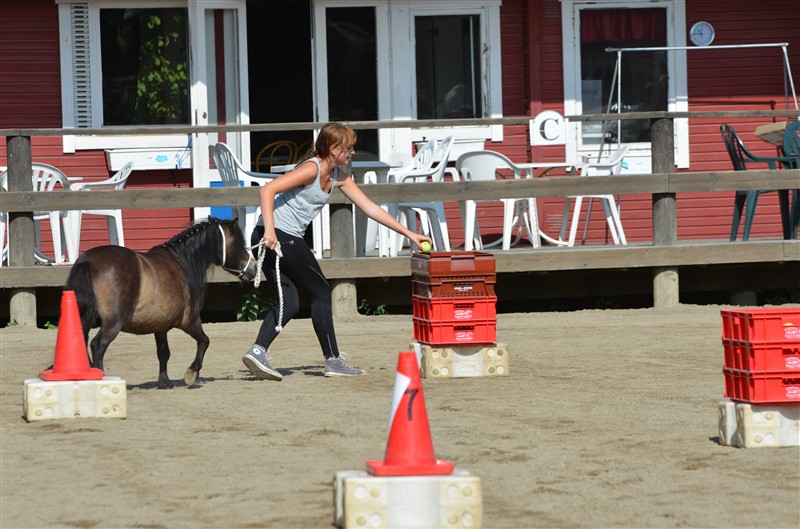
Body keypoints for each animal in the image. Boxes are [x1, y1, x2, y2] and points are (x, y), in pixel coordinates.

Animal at [67, 216, 260, 388]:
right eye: (240, 244)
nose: (253, 269)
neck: (183, 262)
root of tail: (87, 261)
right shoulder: (189, 321)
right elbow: (204, 341)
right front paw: (192, 373)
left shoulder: (160, 325)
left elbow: (163, 352)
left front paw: (164, 382)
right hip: (112, 323)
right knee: (97, 346)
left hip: (84, 318)